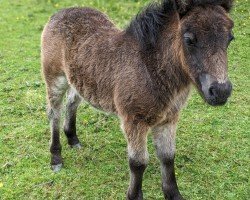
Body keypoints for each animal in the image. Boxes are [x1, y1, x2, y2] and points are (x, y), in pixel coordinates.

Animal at [41, 0, 234, 199]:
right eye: (189, 39)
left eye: (230, 39)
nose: (221, 91)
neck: (150, 68)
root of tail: (61, 12)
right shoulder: (134, 121)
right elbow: (138, 163)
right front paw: (134, 195)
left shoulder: (169, 120)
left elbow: (167, 157)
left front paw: (173, 194)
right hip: (55, 77)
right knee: (54, 113)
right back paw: (56, 158)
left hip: (78, 79)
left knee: (72, 102)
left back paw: (72, 139)